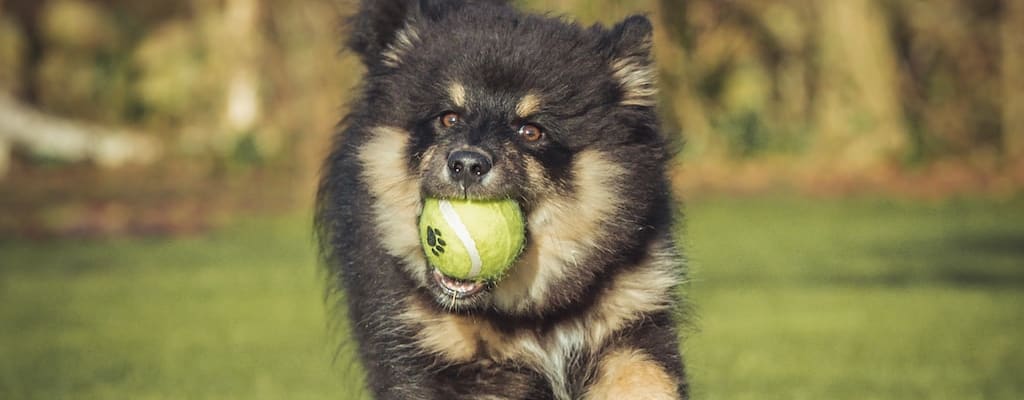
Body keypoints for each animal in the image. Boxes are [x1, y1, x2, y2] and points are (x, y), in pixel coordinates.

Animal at [315, 0, 692, 396]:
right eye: (448, 118)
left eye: (531, 131)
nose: (467, 164)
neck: (534, 315)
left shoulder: (634, 319)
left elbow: (645, 381)